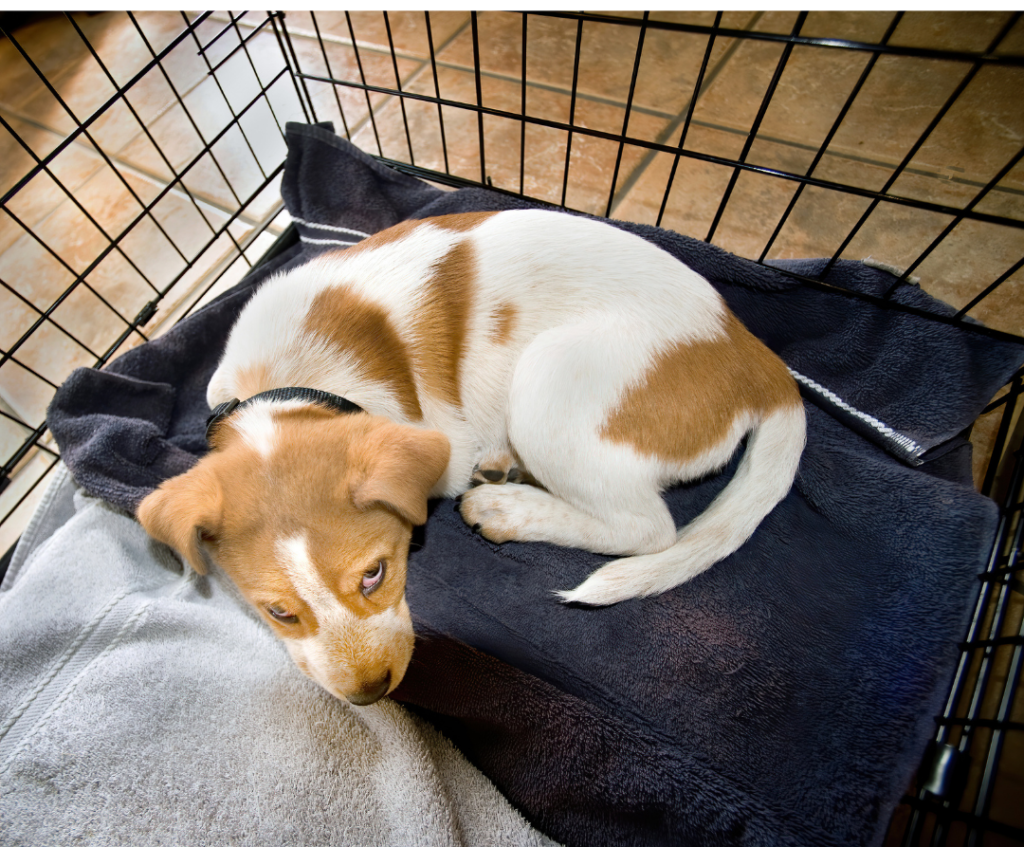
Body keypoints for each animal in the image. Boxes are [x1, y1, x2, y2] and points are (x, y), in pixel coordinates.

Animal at [138, 208, 806, 704]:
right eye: (278, 612)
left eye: (375, 574)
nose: (371, 694)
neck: (291, 380)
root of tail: (754, 356)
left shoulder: (440, 447)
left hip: (549, 379)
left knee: (645, 529)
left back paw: (507, 506)